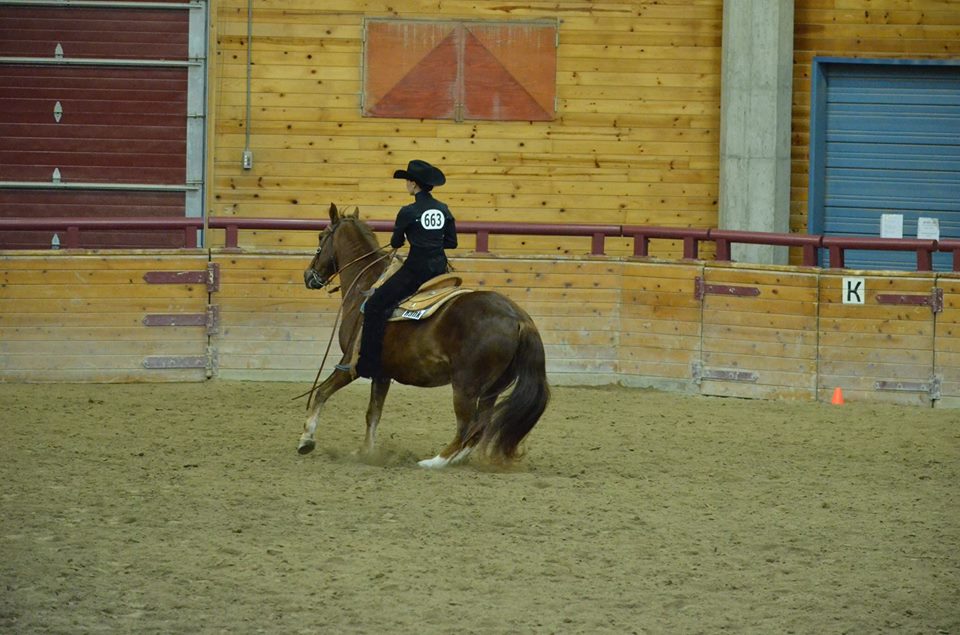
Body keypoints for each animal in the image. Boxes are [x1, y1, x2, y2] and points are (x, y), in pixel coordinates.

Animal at [300, 204, 552, 468]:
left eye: (320, 236)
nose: (308, 276)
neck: (367, 287)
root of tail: (519, 318)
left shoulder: (352, 363)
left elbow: (321, 392)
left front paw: (306, 440)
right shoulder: (382, 373)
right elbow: (373, 413)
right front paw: (365, 453)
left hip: (465, 385)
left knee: (466, 426)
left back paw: (434, 462)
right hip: (491, 389)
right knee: (478, 428)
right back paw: (455, 459)